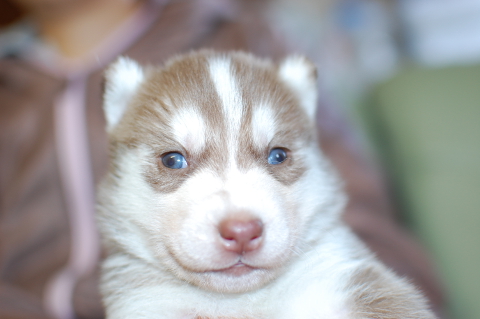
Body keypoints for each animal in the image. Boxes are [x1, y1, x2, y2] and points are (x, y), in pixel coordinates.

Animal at [96, 51, 436, 318]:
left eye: (278, 155)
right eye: (173, 160)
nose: (242, 231)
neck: (243, 299)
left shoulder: (343, 276)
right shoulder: (147, 304)